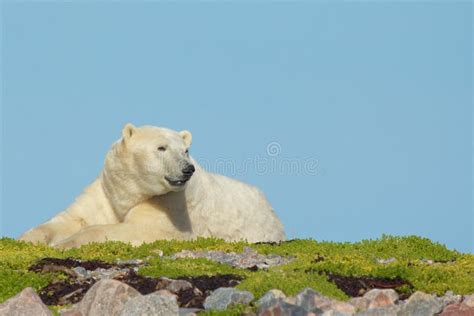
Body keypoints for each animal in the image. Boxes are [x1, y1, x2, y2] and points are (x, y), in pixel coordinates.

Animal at [19, 122, 286, 248]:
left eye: (186, 150)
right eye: (161, 148)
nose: (188, 169)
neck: (131, 191)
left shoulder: (169, 203)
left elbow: (143, 229)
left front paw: (65, 244)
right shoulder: (105, 192)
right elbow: (74, 219)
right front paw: (28, 239)